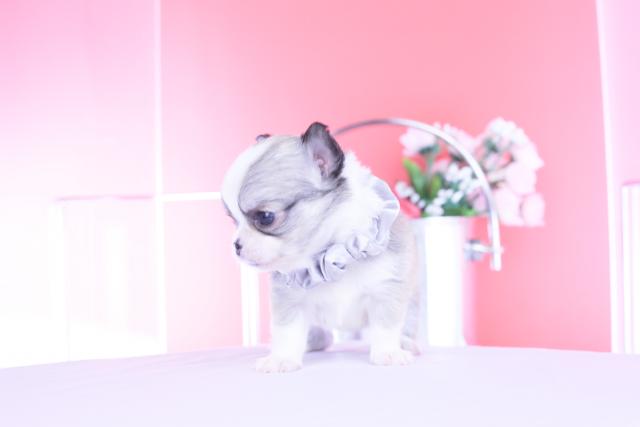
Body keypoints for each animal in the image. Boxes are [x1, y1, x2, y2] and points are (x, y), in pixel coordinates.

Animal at [222, 122, 419, 373]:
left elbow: (386, 326)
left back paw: (406, 343)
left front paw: (388, 352)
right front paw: (282, 358)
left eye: (265, 217)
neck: (334, 254)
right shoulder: (289, 299)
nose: (236, 245)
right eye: (233, 220)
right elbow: (286, 331)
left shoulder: (386, 289)